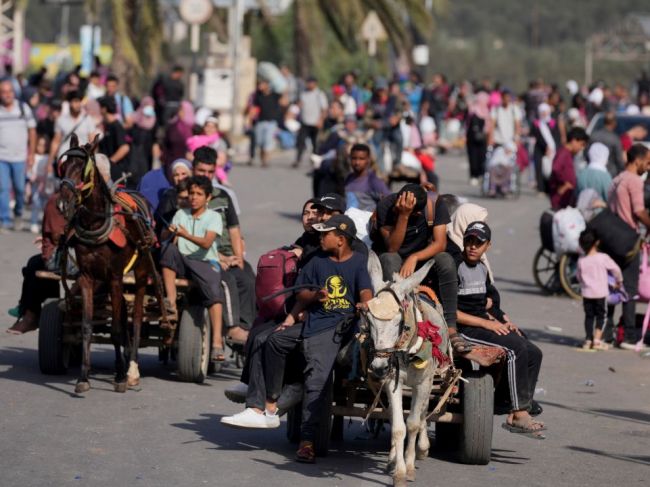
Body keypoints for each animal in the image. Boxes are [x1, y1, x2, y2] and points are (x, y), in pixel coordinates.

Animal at [57, 135, 162, 394]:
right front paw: (83, 377)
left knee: (135, 318)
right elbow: (86, 326)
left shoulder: (115, 276)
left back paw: (131, 369)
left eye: (83, 170)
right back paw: (122, 363)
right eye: (64, 166)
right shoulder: (87, 276)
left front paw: (122, 377)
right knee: (123, 313)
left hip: (141, 271)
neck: (95, 224)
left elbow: (115, 329)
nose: (63, 204)